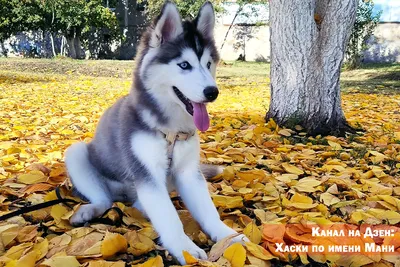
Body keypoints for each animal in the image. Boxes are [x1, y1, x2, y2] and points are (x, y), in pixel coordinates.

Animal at [65, 1, 245, 264]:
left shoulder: (188, 172)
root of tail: (124, 196)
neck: (171, 130)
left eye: (208, 64)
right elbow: (169, 217)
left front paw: (227, 236)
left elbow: (207, 210)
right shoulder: (147, 174)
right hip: (78, 153)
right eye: (184, 65)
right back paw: (89, 210)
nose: (213, 92)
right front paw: (184, 248)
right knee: (104, 199)